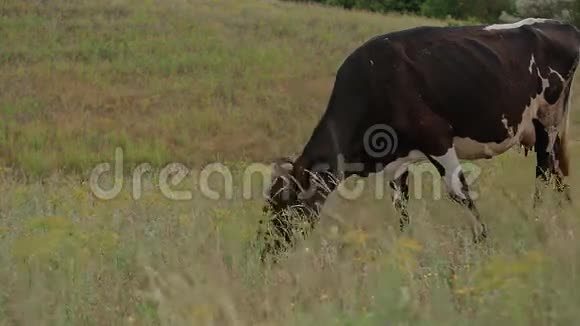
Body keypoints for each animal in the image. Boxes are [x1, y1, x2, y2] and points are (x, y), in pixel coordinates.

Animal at [260, 17, 580, 262]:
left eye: (285, 205)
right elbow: (401, 206)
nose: (266, 252)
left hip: (548, 121)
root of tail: (560, 24)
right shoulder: (396, 161)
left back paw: (538, 219)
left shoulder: (436, 138)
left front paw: (483, 242)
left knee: (544, 172)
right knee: (557, 175)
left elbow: (460, 193)